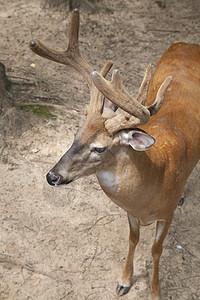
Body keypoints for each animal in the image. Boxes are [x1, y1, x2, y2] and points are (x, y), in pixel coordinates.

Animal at [29, 8, 200, 300]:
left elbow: (156, 250)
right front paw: (124, 281)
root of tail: (190, 43)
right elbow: (133, 239)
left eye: (99, 147)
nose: (52, 176)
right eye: (76, 135)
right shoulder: (130, 212)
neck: (153, 180)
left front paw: (155, 292)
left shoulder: (166, 215)